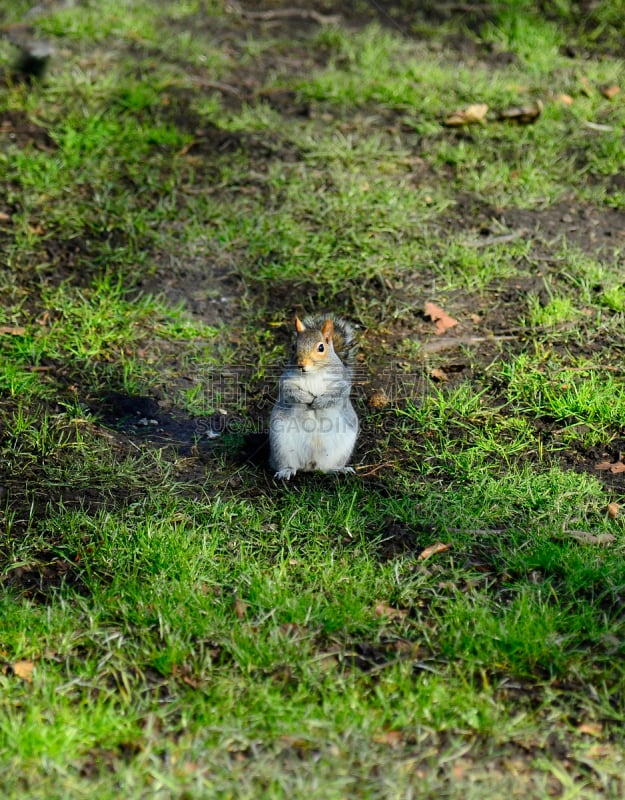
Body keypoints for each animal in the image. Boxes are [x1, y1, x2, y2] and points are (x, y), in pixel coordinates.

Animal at [266, 314, 356, 482]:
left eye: (321, 348)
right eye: (293, 346)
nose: (301, 363)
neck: (314, 372)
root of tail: (311, 464)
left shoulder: (341, 382)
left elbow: (336, 394)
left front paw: (319, 402)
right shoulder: (287, 381)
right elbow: (290, 392)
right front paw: (307, 399)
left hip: (342, 447)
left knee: (327, 468)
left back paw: (339, 470)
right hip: (281, 444)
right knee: (288, 464)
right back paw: (286, 471)